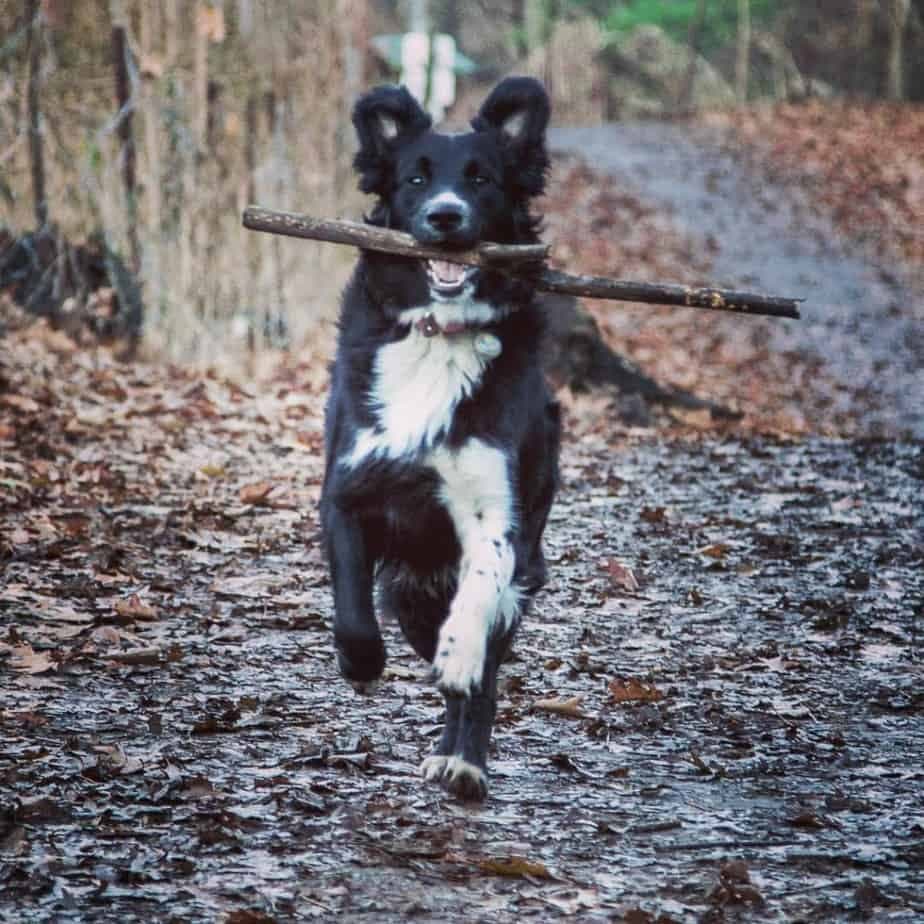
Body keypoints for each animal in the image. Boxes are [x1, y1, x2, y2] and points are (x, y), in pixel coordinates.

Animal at [322, 77, 560, 800]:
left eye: (481, 179)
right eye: (416, 178)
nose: (446, 217)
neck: (439, 333)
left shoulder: (498, 515)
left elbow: (481, 589)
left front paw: (460, 657)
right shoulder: (348, 487)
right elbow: (351, 607)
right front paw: (361, 663)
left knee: (484, 672)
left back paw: (463, 761)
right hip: (409, 591)